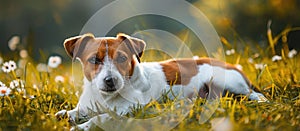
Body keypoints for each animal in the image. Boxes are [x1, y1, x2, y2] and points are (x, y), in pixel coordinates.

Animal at [55, 33, 268, 130]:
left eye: (122, 58)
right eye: (94, 60)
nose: (110, 81)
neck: (105, 97)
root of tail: (235, 67)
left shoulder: (128, 111)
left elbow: (101, 117)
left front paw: (82, 126)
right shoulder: (87, 106)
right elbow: (73, 112)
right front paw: (65, 115)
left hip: (228, 82)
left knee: (255, 94)